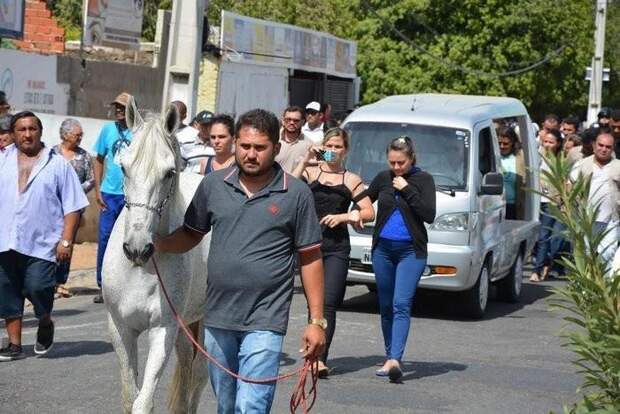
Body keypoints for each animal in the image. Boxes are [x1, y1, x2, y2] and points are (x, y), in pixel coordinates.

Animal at [101, 101, 208, 414]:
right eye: (123, 167)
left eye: (169, 172)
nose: (137, 249)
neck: (141, 270)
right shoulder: (120, 328)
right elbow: (130, 396)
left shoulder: (163, 330)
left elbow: (143, 402)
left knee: (199, 373)